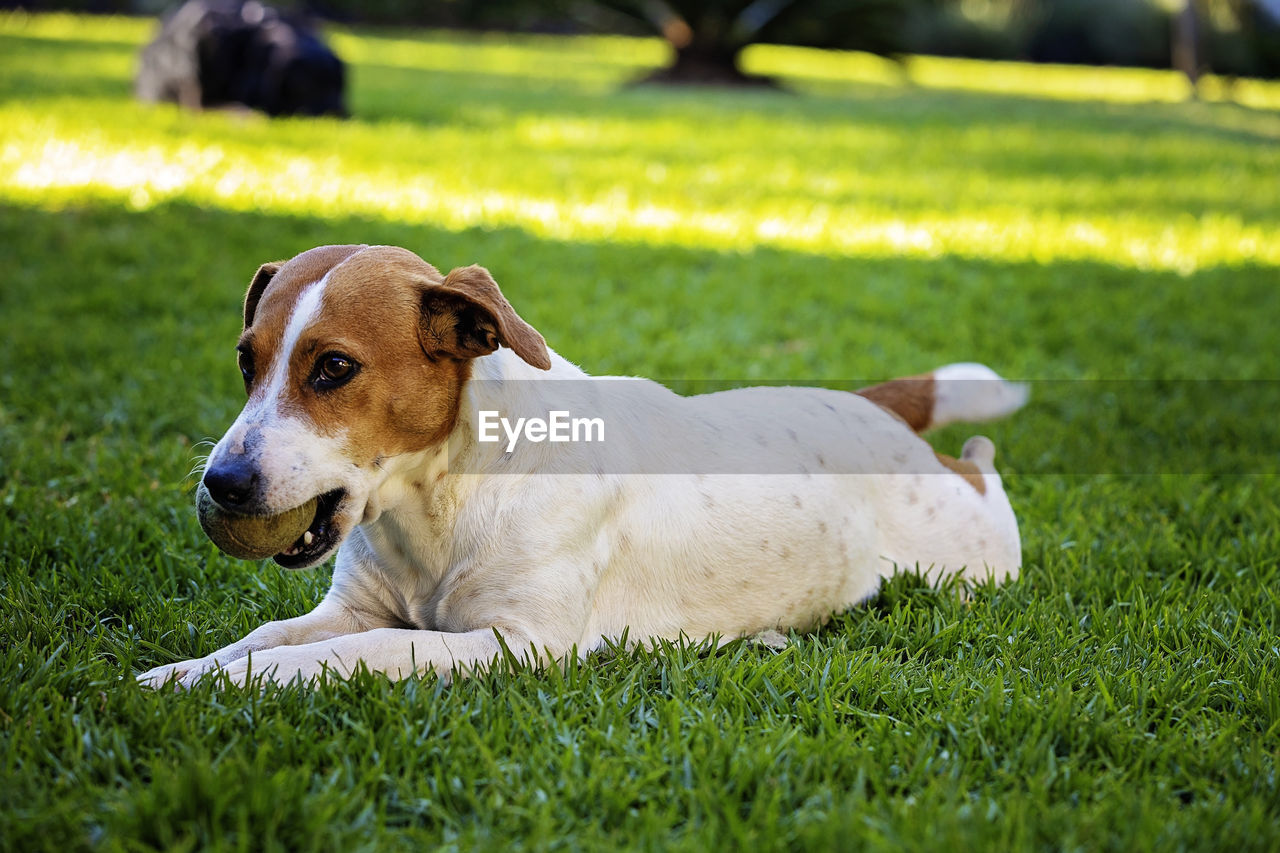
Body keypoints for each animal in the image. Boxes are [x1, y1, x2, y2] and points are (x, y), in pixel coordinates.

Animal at [135, 244, 1024, 686]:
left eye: (334, 368)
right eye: (246, 361)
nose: (222, 485)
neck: (439, 497)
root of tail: (872, 405)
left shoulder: (519, 642)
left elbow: (349, 654)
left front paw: (233, 682)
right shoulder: (354, 606)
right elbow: (267, 634)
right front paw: (187, 671)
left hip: (973, 555)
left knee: (983, 478)